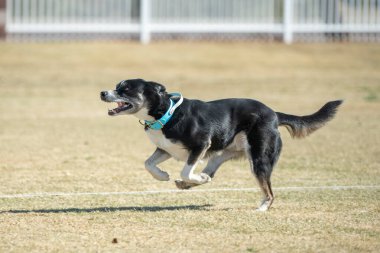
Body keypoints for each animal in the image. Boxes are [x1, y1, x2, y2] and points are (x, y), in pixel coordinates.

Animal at [99, 79, 342, 211]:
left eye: (125, 89)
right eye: (116, 86)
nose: (102, 92)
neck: (166, 113)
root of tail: (274, 114)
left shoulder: (200, 144)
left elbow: (186, 169)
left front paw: (190, 178)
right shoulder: (166, 148)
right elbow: (148, 164)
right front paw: (163, 176)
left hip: (259, 158)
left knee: (269, 191)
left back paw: (262, 208)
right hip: (220, 154)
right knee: (211, 173)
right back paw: (191, 182)